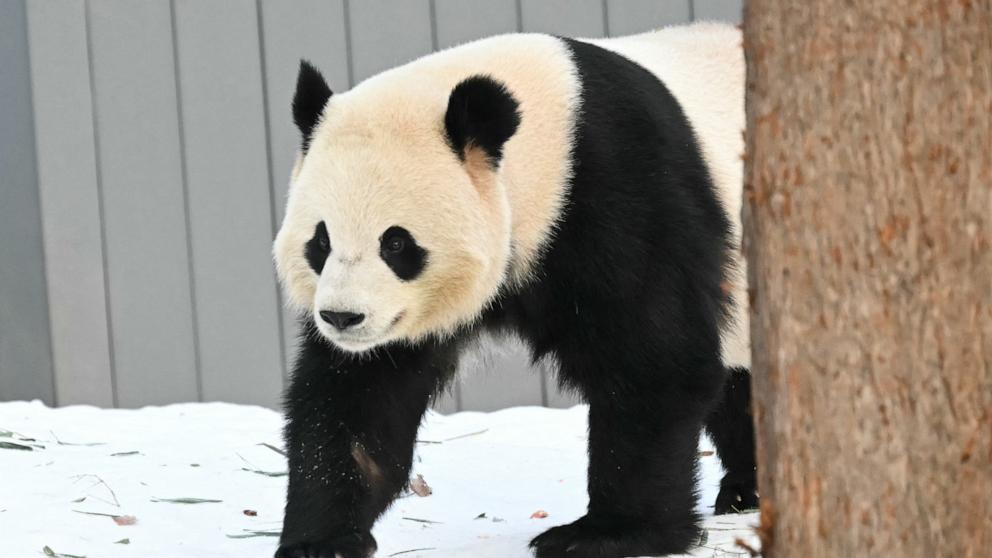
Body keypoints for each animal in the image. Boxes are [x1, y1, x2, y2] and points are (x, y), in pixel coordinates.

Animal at [272, 21, 752, 558]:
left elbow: (653, 360)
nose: (342, 318)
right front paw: (322, 540)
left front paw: (610, 533)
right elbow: (359, 395)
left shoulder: (623, 192)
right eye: (321, 241)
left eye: (395, 243)